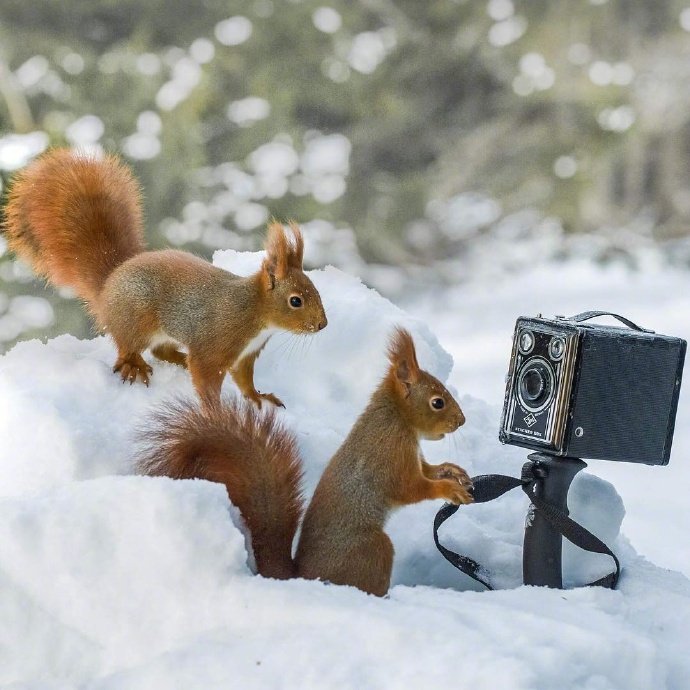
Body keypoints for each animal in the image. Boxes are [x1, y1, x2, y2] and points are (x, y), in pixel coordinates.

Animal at [2, 144, 326, 404]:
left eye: (315, 290)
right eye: (295, 300)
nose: (322, 325)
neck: (253, 310)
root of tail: (110, 282)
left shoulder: (246, 355)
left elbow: (244, 380)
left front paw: (258, 398)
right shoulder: (215, 343)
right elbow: (206, 378)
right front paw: (216, 412)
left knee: (160, 351)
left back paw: (179, 358)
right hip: (136, 317)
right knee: (127, 345)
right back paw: (134, 364)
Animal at [140, 326, 472, 592]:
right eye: (437, 402)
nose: (462, 421)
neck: (397, 419)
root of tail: (306, 576)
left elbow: (428, 469)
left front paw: (451, 471)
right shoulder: (389, 455)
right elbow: (412, 487)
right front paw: (449, 489)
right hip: (371, 549)